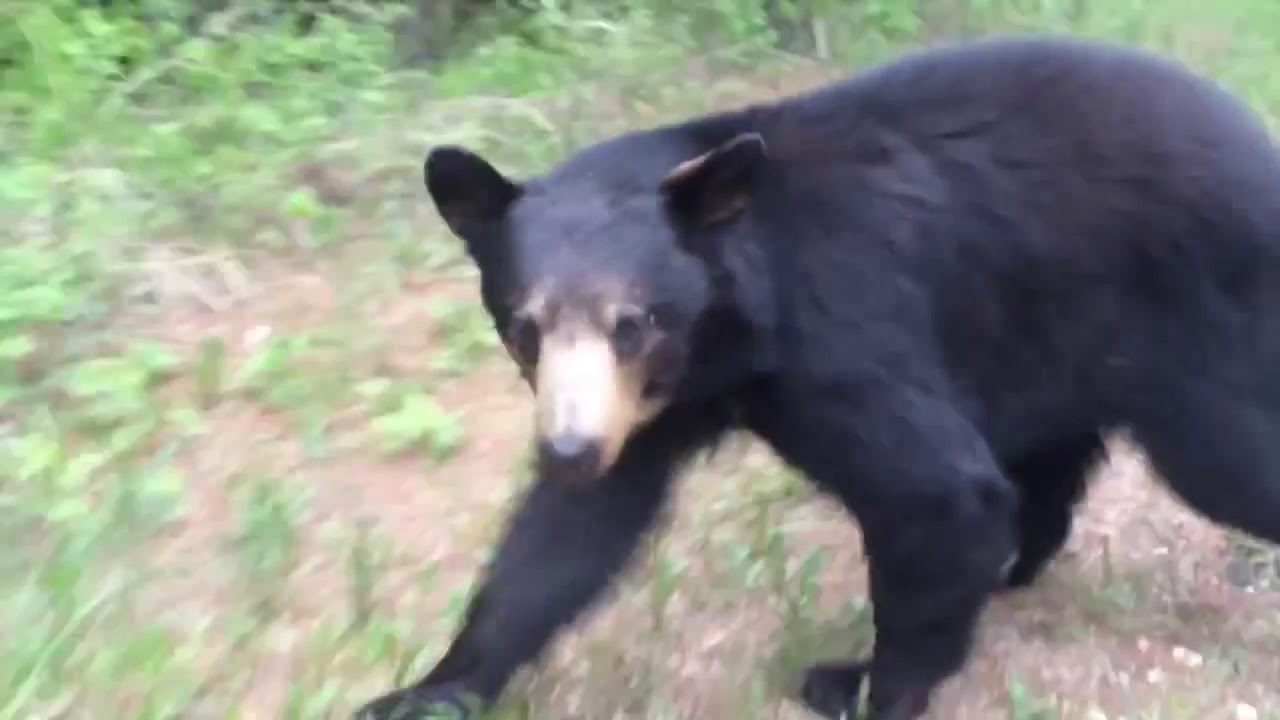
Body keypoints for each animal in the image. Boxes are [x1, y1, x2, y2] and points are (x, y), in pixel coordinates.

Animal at [355, 34, 1280, 720]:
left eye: (634, 322)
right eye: (523, 326)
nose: (570, 450)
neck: (727, 333)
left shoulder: (839, 331)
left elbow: (940, 490)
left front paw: (861, 681)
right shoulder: (648, 405)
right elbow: (563, 540)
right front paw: (426, 690)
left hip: (1196, 326)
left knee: (1226, 461)